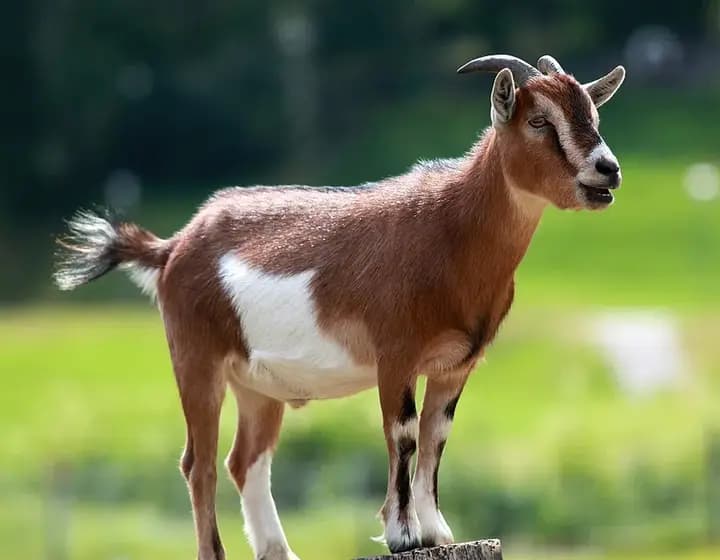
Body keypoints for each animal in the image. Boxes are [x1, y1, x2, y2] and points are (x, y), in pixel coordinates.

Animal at [54, 54, 625, 560]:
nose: (608, 170)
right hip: (196, 357)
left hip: (256, 385)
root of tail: (172, 247)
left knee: (245, 460)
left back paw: (279, 552)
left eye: (593, 116)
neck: (450, 231)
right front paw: (402, 536)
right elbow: (404, 435)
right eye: (538, 120)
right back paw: (215, 552)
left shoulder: (456, 364)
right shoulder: (395, 354)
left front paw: (437, 532)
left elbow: (436, 437)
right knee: (200, 463)